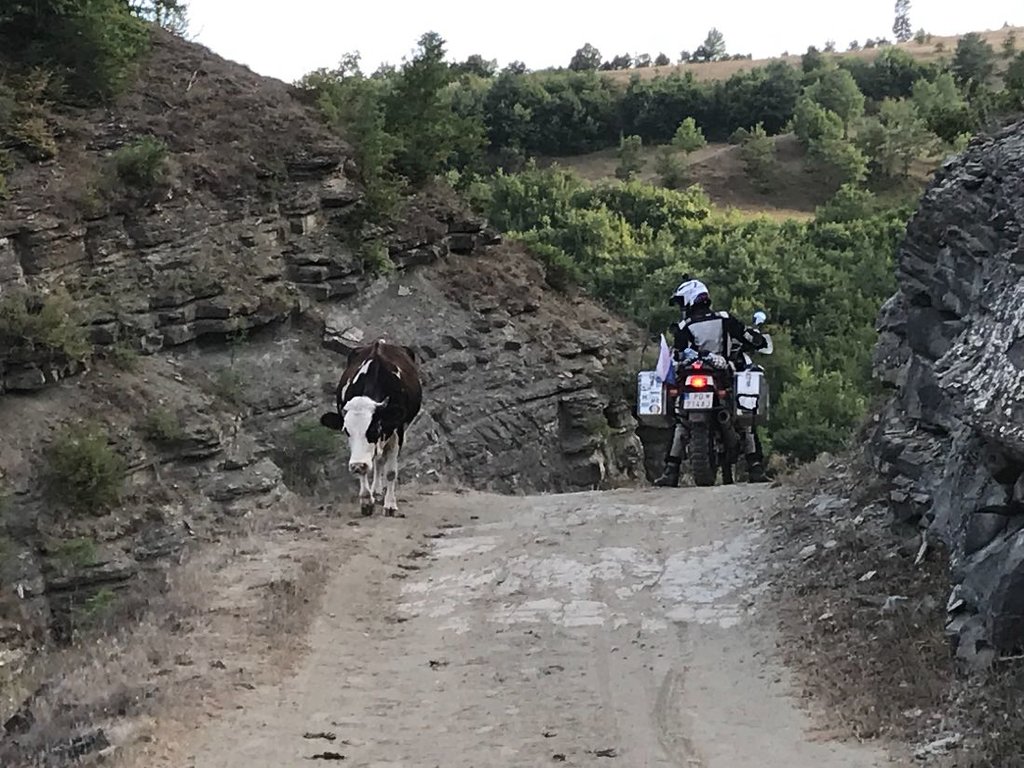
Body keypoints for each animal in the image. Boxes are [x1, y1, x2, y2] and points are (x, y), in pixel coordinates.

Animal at [315, 342, 419, 518]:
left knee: (380, 460)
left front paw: (390, 505)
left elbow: (391, 472)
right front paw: (366, 501)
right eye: (347, 431)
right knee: (378, 460)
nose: (356, 465)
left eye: (373, 430)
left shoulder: (397, 432)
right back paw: (376, 491)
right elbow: (365, 468)